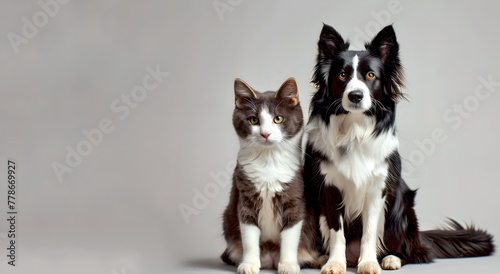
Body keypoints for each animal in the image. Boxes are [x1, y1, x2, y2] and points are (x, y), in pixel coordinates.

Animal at [220, 77, 320, 274]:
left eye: (278, 118)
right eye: (253, 120)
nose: (265, 133)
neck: (268, 161)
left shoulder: (295, 192)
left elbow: (291, 234)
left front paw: (288, 264)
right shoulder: (245, 193)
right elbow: (249, 234)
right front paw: (249, 264)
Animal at [302, 24, 494, 274]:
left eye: (371, 75)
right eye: (342, 75)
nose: (355, 95)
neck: (355, 129)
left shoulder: (378, 188)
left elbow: (369, 232)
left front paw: (369, 263)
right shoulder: (329, 188)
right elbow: (337, 233)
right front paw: (334, 263)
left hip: (402, 204)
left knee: (412, 252)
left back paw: (391, 258)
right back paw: (320, 258)